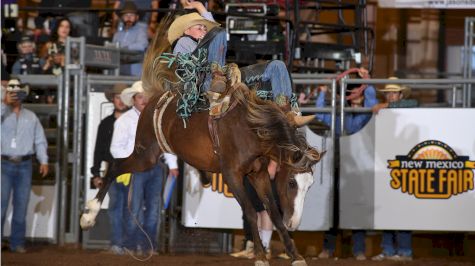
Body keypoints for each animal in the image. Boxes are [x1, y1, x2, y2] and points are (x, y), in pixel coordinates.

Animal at [82, 17, 324, 266]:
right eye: (292, 183)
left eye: (310, 185)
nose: (294, 223)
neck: (254, 130)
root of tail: (155, 99)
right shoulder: (232, 174)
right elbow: (250, 211)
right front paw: (260, 256)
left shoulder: (259, 173)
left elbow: (273, 212)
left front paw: (295, 255)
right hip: (145, 153)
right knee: (116, 165)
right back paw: (88, 216)